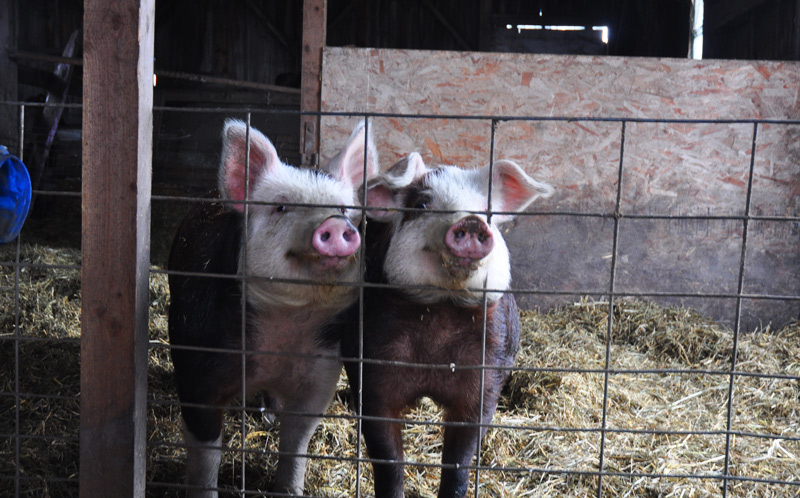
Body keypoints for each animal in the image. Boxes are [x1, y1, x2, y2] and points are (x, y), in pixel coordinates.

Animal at [168, 119, 378, 497]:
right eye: (281, 207)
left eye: (343, 209)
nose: (335, 223)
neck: (285, 325)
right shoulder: (196, 367)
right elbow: (206, 452)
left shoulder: (321, 370)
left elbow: (297, 440)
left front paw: (290, 490)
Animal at [341, 153, 553, 498]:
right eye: (423, 204)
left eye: (487, 212)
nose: (471, 221)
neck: (441, 309)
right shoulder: (372, 373)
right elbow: (388, 460)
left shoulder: (485, 375)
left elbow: (459, 461)